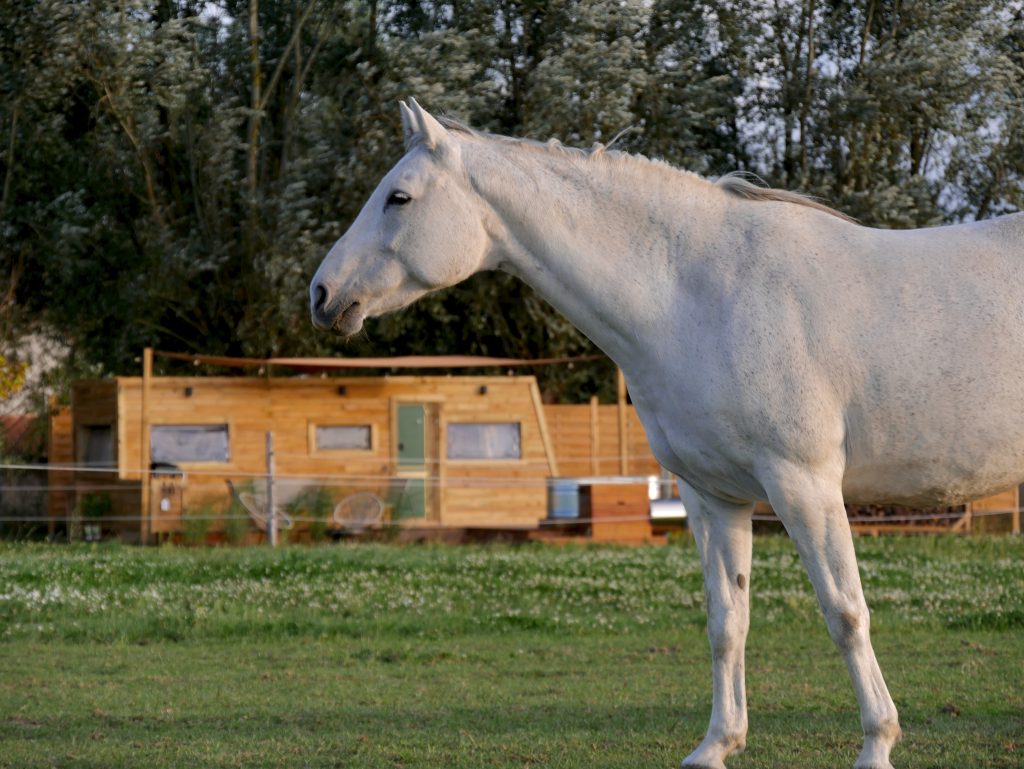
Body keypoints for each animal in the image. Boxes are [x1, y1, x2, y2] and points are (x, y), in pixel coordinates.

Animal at [309, 98, 1024, 769]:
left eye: (399, 198)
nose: (321, 294)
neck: (701, 295)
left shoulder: (805, 485)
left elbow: (845, 612)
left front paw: (877, 743)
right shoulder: (714, 497)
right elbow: (726, 621)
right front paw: (718, 744)